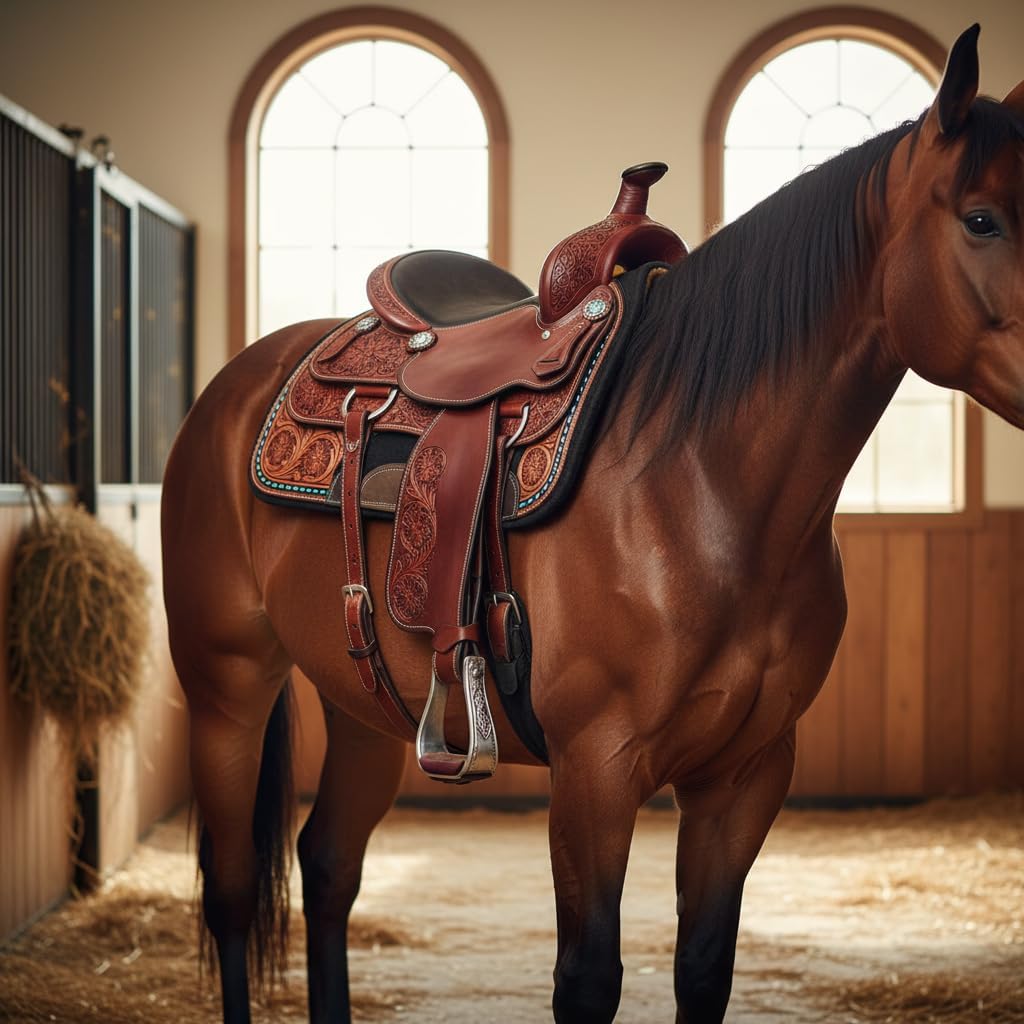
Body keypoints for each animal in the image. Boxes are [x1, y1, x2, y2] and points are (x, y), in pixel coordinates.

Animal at [161, 25, 1024, 1024]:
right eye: (982, 220)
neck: (702, 484)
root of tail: (232, 387)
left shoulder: (745, 776)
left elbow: (703, 968)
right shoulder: (596, 773)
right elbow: (588, 980)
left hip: (364, 704)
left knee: (329, 865)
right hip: (226, 681)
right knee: (230, 893)